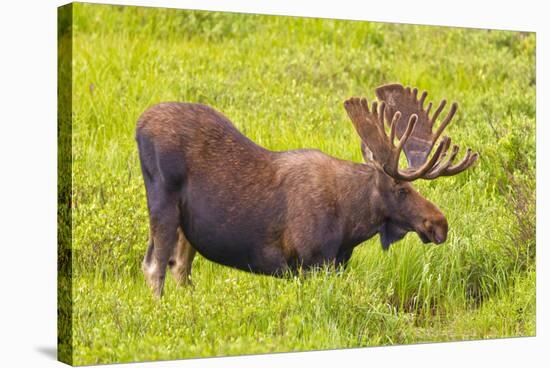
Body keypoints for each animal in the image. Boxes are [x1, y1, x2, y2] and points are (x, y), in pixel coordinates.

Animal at [137, 82, 478, 296]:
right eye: (401, 189)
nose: (440, 224)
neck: (351, 224)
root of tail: (138, 125)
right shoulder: (311, 261)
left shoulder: (337, 263)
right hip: (162, 204)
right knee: (154, 266)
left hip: (188, 228)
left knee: (180, 267)